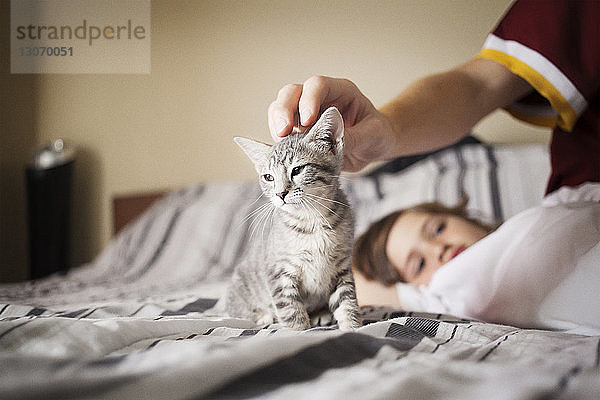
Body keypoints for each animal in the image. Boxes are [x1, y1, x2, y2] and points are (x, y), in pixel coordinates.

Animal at [214, 107, 360, 332]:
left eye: (297, 170)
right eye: (268, 177)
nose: (280, 194)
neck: (312, 221)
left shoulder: (342, 266)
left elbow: (347, 300)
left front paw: (352, 326)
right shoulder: (278, 271)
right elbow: (289, 307)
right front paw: (296, 330)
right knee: (239, 310)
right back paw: (265, 316)